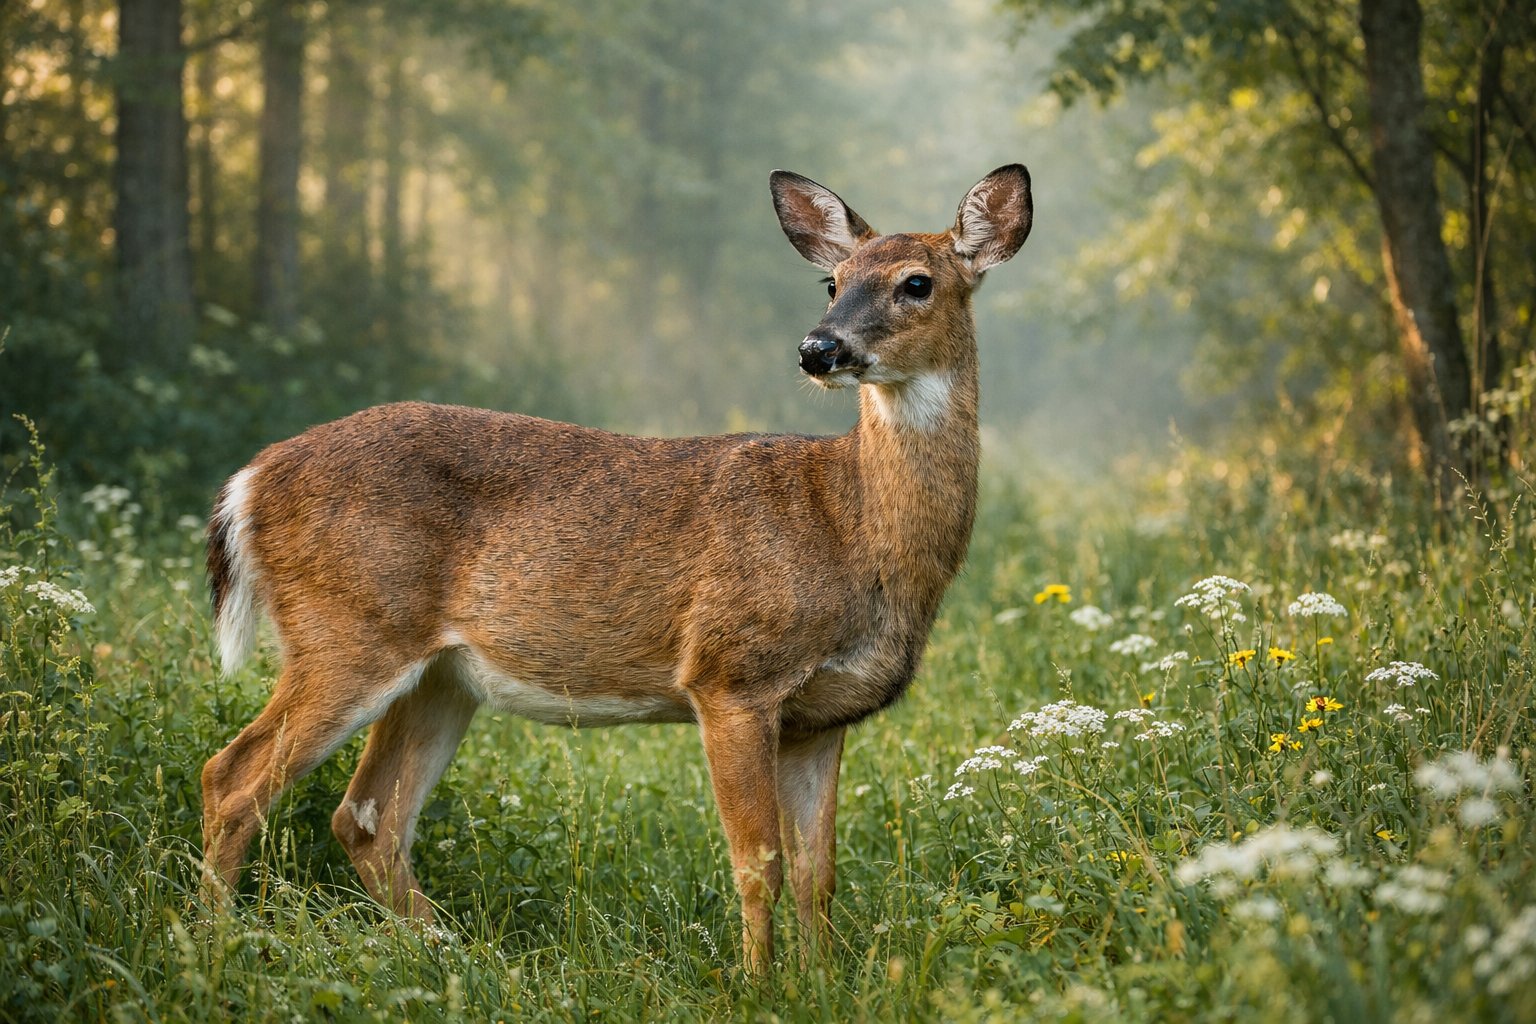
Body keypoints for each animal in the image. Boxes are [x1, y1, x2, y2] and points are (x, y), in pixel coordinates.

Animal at [200, 164, 1033, 972]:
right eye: (832, 282)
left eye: (916, 282)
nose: (818, 349)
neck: (848, 524)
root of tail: (250, 478)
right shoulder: (730, 674)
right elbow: (756, 862)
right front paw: (759, 987)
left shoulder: (822, 717)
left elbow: (817, 874)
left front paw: (821, 983)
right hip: (349, 629)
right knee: (232, 778)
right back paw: (214, 942)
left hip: (438, 674)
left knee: (369, 816)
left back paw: (455, 957)